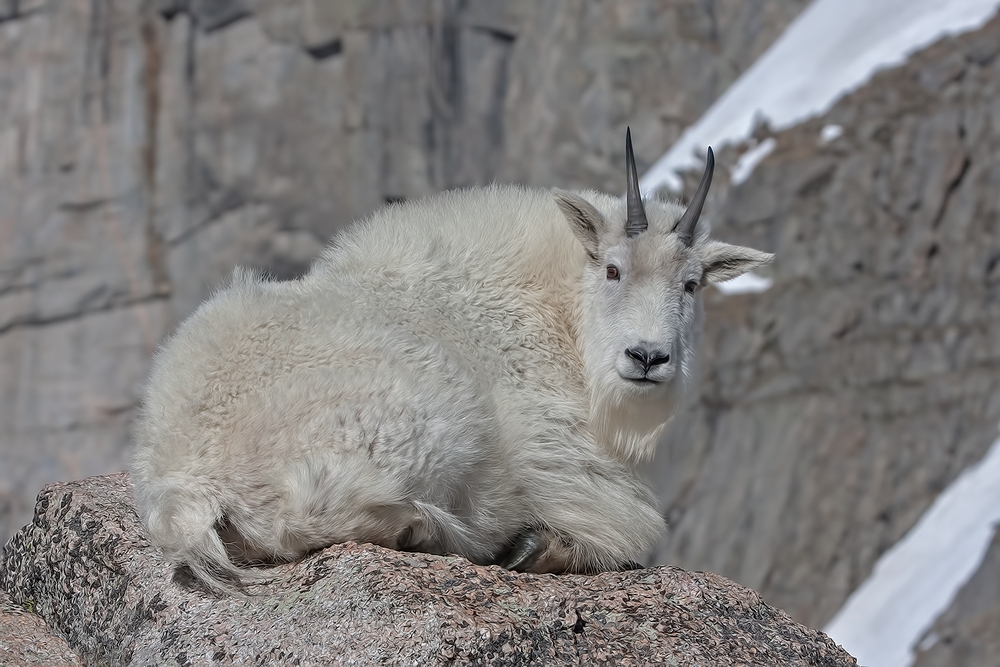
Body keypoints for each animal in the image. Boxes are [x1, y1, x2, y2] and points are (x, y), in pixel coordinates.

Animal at [131, 130, 772, 596]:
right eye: (613, 269)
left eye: (691, 284)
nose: (647, 357)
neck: (556, 314)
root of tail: (185, 472)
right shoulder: (562, 464)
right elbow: (627, 531)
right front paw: (538, 544)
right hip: (424, 421)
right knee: (310, 517)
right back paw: (433, 529)